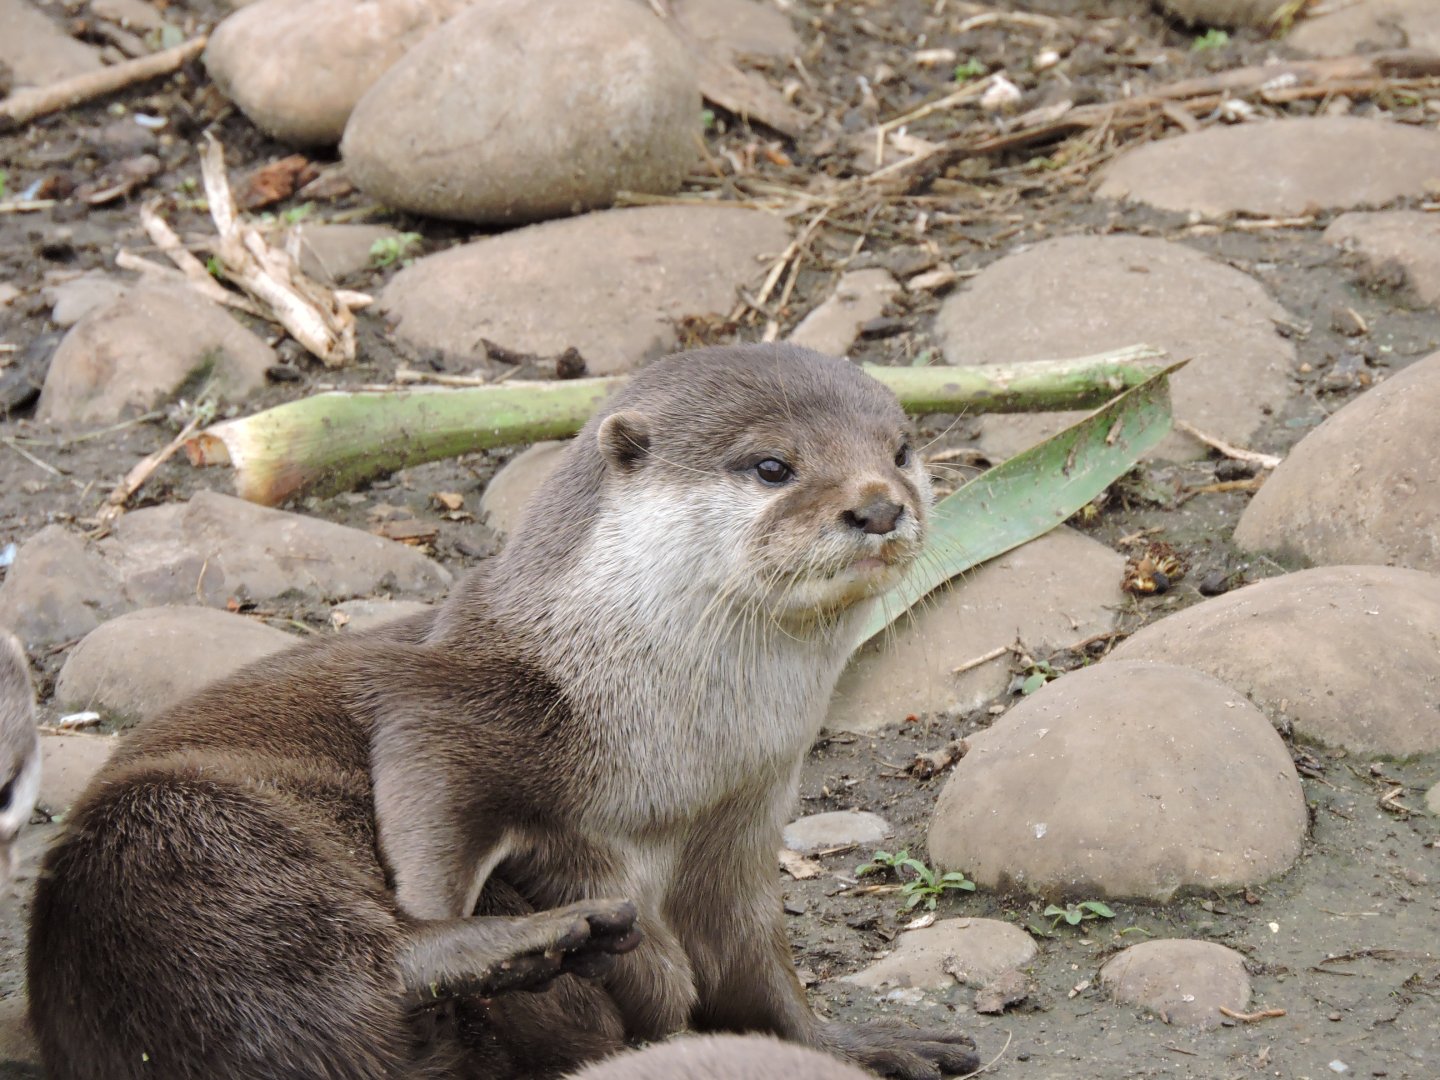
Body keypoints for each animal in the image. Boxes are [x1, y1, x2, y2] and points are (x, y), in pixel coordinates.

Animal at [29, 344, 978, 1079]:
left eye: (902, 449)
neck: (679, 758)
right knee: (362, 954)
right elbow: (429, 800)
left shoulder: (740, 825)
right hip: (181, 829)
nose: (880, 505)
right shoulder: (463, 708)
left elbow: (759, 973)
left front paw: (861, 1042)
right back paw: (544, 937)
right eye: (773, 465)